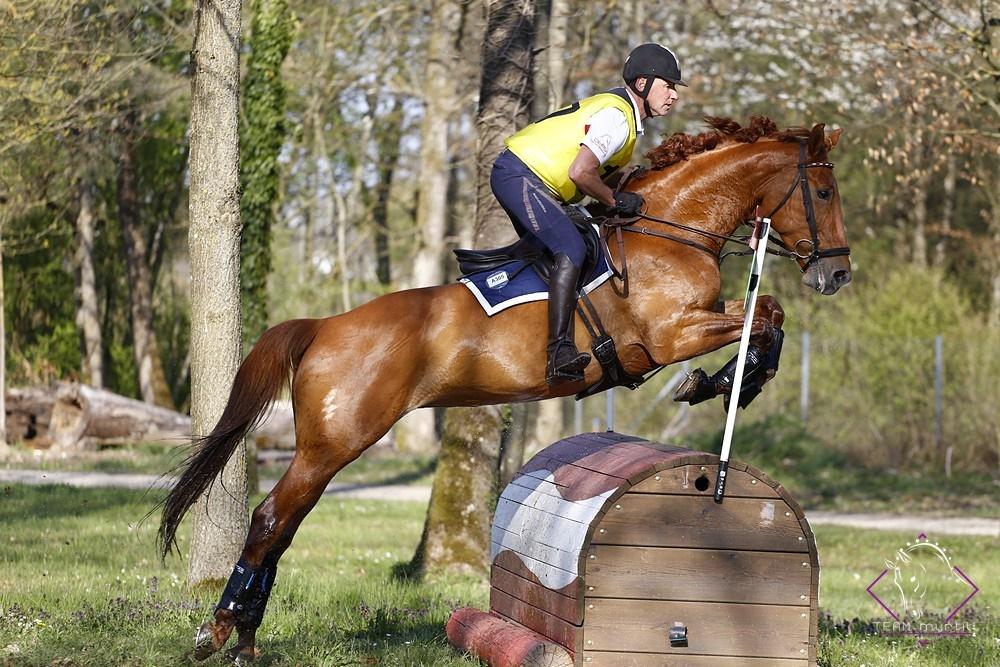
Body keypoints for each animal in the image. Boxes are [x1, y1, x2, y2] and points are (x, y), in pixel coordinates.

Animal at [158, 115, 852, 664]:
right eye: (822, 190)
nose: (838, 274)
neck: (671, 229)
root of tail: (324, 326)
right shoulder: (671, 333)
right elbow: (765, 319)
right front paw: (719, 381)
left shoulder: (696, 321)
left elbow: (771, 316)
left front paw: (728, 380)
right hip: (334, 445)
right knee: (271, 519)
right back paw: (217, 633)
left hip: (327, 449)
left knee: (282, 526)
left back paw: (246, 640)